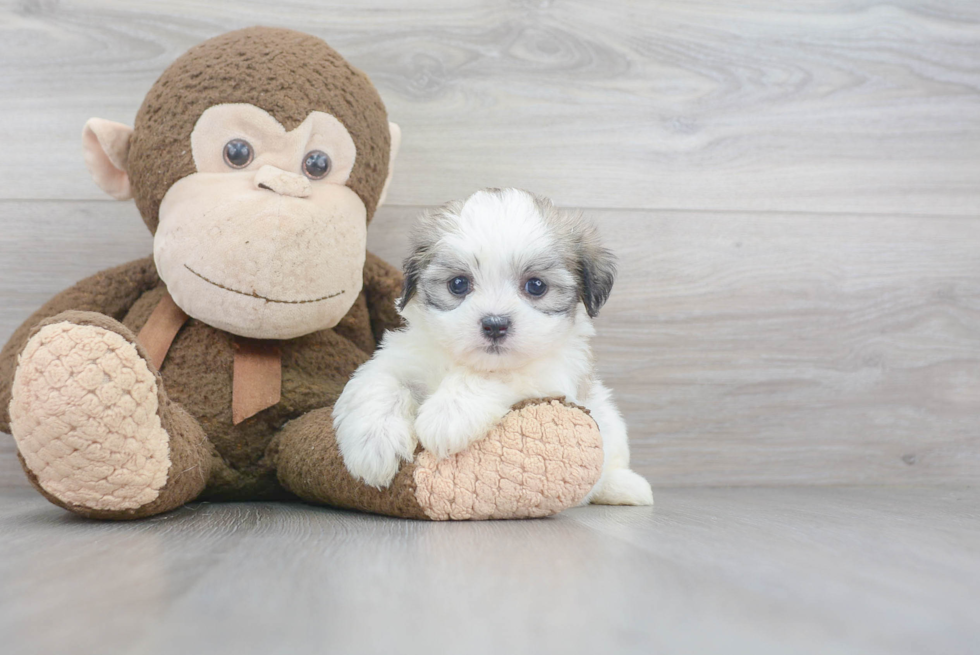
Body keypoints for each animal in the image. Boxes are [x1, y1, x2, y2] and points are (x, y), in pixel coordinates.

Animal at [334, 190, 656, 508]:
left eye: (536, 286)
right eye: (458, 284)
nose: (495, 325)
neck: (460, 360)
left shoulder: (552, 372)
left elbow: (491, 375)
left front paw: (448, 414)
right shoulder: (398, 358)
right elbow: (381, 385)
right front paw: (374, 444)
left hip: (610, 422)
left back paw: (626, 487)